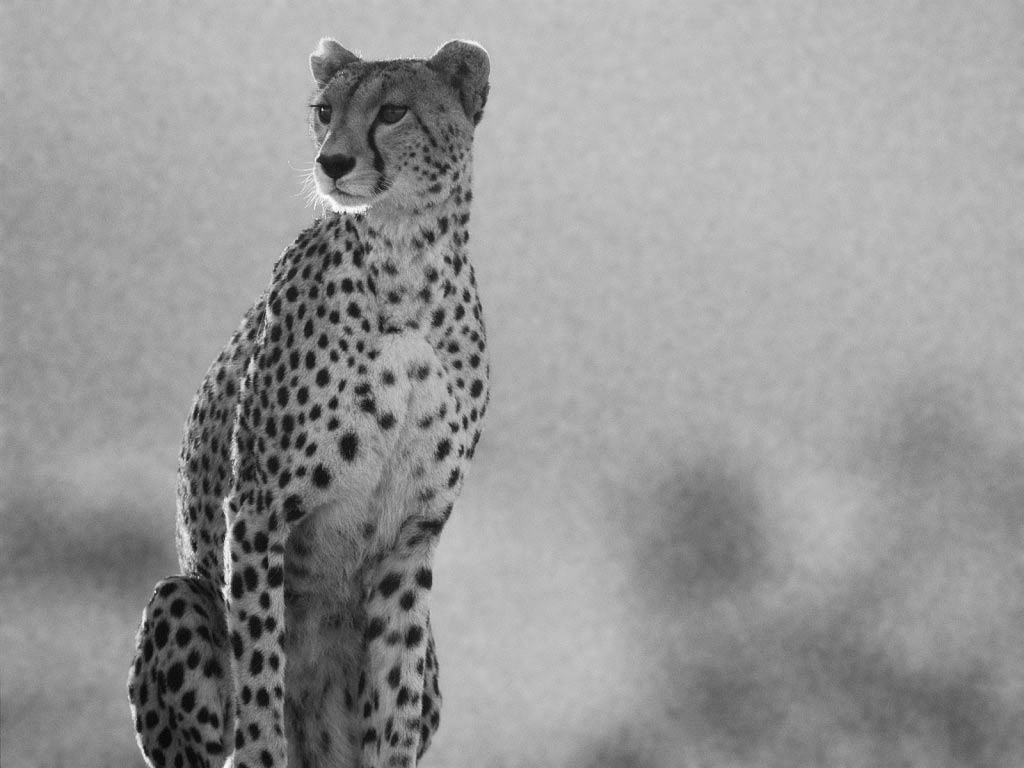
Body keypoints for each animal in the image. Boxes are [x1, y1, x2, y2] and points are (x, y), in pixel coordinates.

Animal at [127, 37, 491, 768]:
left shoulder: (412, 539)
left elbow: (395, 690)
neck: (409, 263)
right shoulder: (259, 506)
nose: (333, 161)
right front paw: (264, 748)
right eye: (325, 111)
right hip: (179, 595)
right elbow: (260, 664)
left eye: (393, 112)